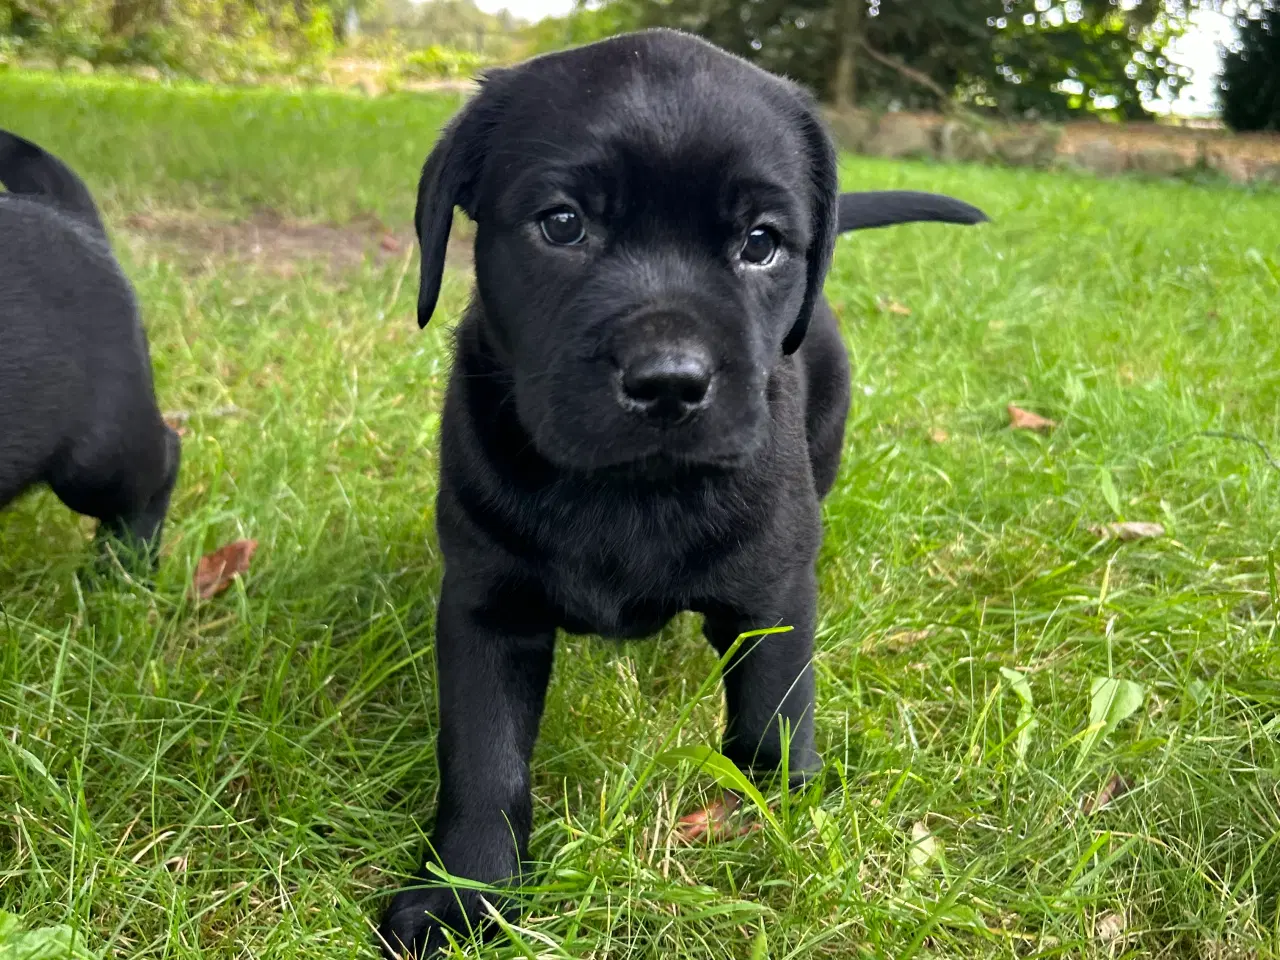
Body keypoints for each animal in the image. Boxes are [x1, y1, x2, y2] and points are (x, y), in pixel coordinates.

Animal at [378, 26, 988, 957]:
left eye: (761, 242)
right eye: (563, 224)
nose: (669, 381)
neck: (629, 492)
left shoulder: (772, 595)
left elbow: (773, 714)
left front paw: (780, 828)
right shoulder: (487, 608)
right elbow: (485, 759)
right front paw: (464, 895)